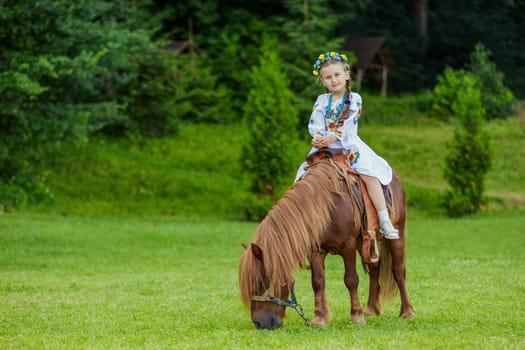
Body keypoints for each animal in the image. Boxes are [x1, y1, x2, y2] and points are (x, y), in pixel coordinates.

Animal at [237, 157, 414, 330]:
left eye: (260, 282)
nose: (259, 323)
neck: (328, 207)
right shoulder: (316, 251)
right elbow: (318, 282)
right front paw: (320, 319)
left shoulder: (348, 246)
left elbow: (351, 280)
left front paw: (357, 317)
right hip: (365, 243)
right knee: (374, 270)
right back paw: (370, 309)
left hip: (396, 235)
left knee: (398, 270)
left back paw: (407, 311)